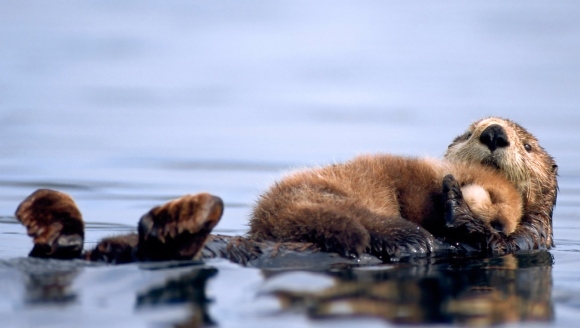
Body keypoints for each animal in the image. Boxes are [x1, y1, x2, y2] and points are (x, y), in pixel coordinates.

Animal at [12, 116, 556, 266]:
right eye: (469, 130)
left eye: (527, 145)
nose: (494, 134)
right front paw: (455, 203)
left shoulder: (525, 238)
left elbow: (494, 240)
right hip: (319, 198)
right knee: (360, 225)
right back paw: (403, 239)